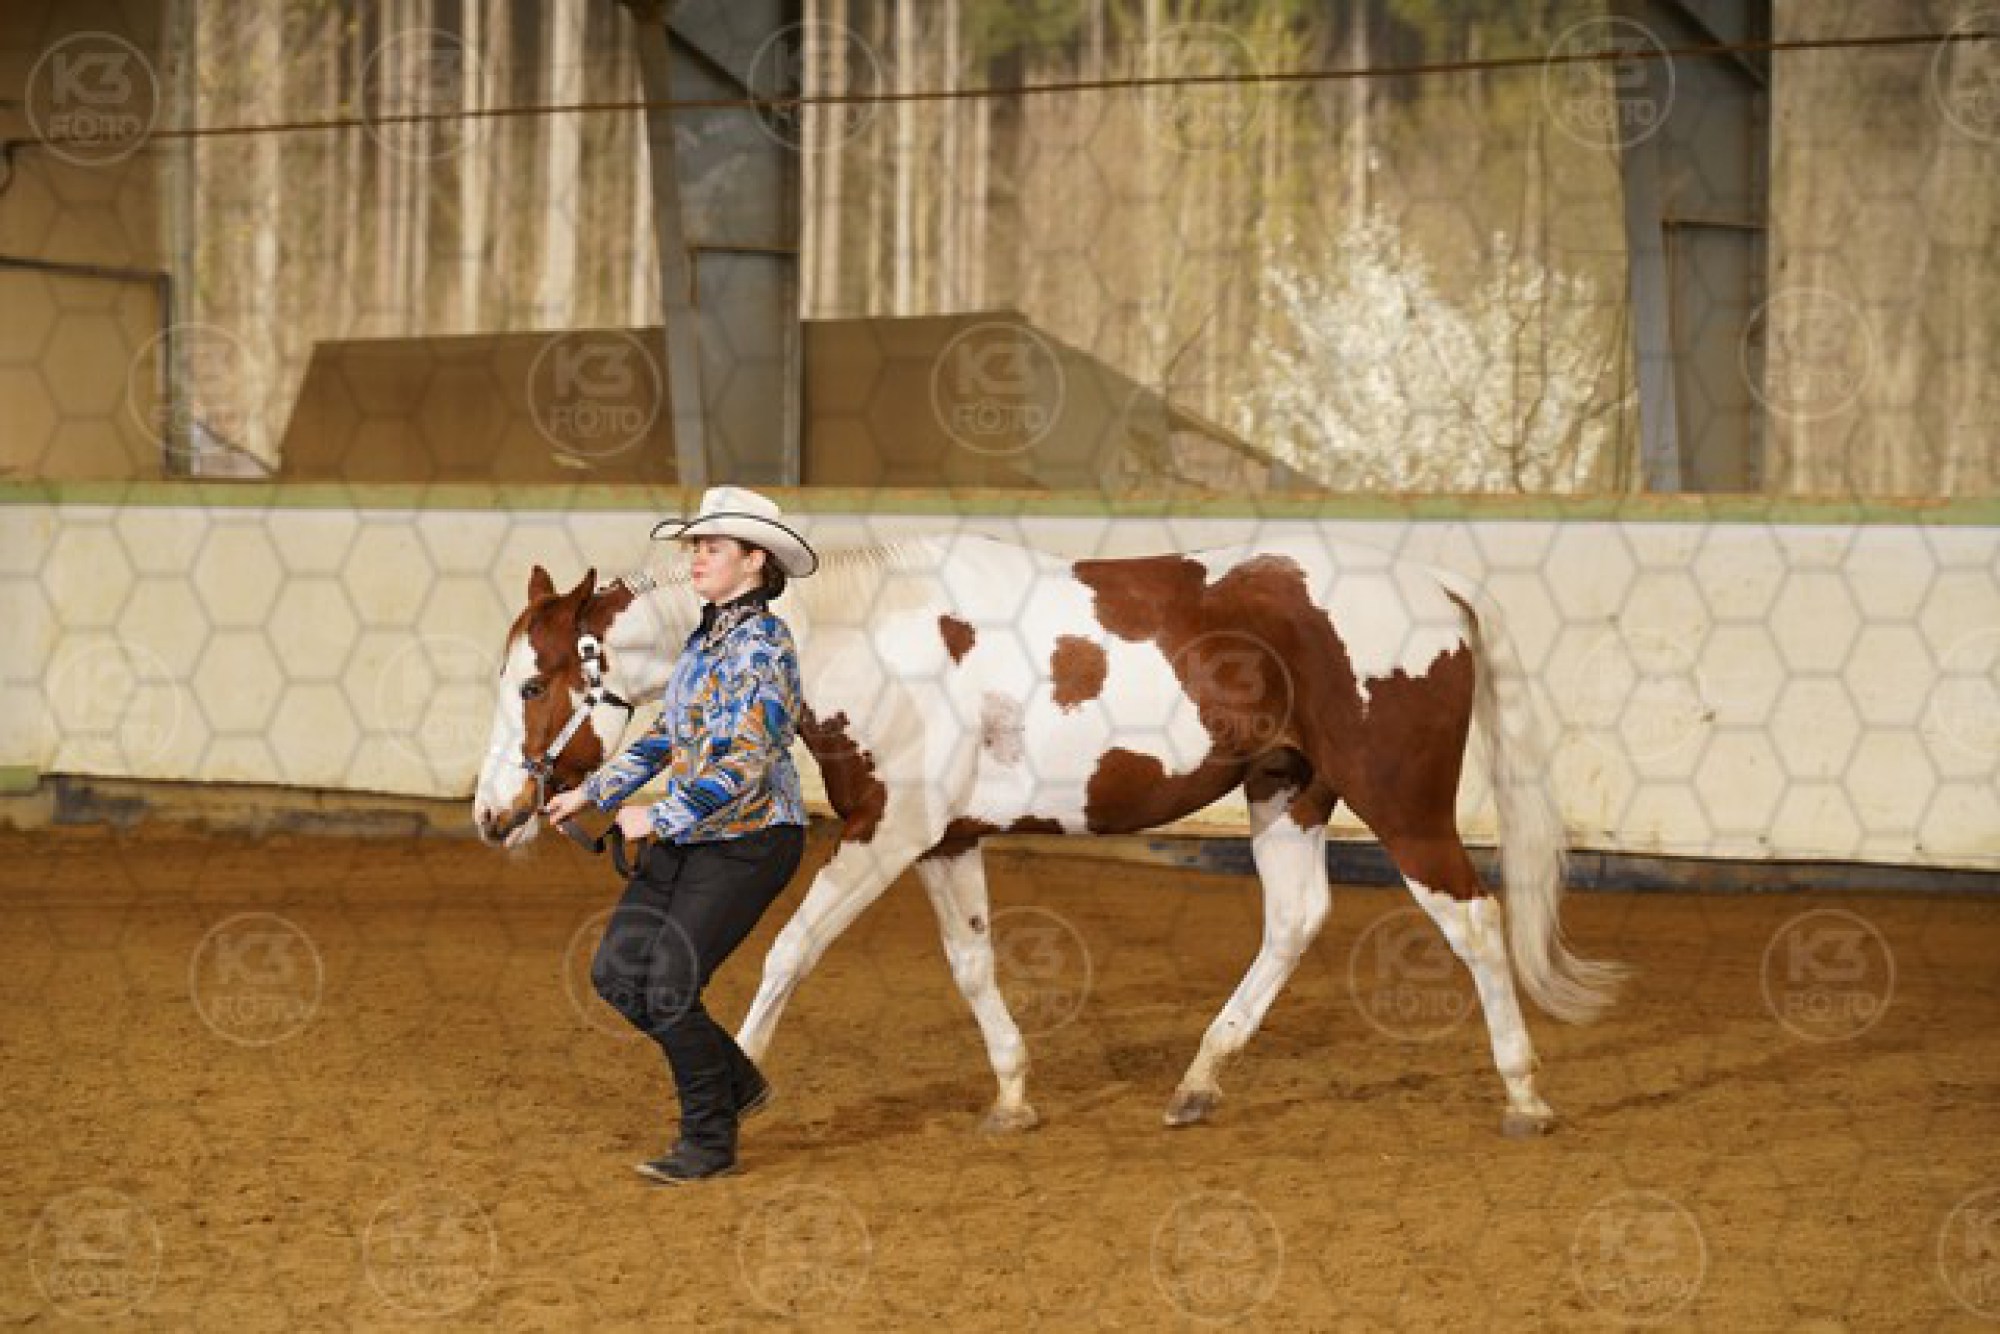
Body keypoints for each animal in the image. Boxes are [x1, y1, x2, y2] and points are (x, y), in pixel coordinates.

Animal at [472, 530, 1623, 1137]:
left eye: (533, 682)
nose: (493, 814)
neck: (867, 640)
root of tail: (1437, 586)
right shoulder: (944, 842)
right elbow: (973, 966)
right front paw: (1014, 1095)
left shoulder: (885, 834)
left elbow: (791, 950)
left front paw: (739, 1086)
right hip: (1285, 792)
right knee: (1297, 920)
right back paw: (1198, 1080)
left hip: (1404, 807)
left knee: (1473, 921)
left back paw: (1524, 1094)